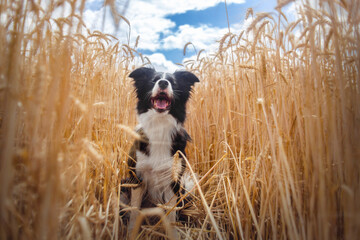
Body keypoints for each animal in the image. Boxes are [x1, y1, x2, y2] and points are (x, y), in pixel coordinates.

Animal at [121, 67, 200, 234]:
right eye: (154, 80)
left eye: (173, 82)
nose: (163, 83)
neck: (160, 125)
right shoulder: (137, 178)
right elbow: (134, 212)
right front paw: (131, 232)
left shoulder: (173, 181)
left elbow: (171, 216)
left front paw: (174, 234)